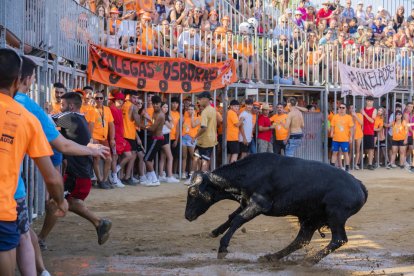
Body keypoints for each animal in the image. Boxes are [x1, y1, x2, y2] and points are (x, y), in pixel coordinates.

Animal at [186, 153, 368, 264]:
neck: (251, 172)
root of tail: (359, 185)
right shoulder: (246, 202)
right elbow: (232, 217)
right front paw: (215, 232)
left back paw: (310, 260)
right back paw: (271, 257)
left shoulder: (259, 204)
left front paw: (223, 247)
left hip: (335, 215)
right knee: (301, 240)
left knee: (339, 239)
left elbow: (238, 219)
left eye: (193, 192)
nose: (187, 215)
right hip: (311, 218)